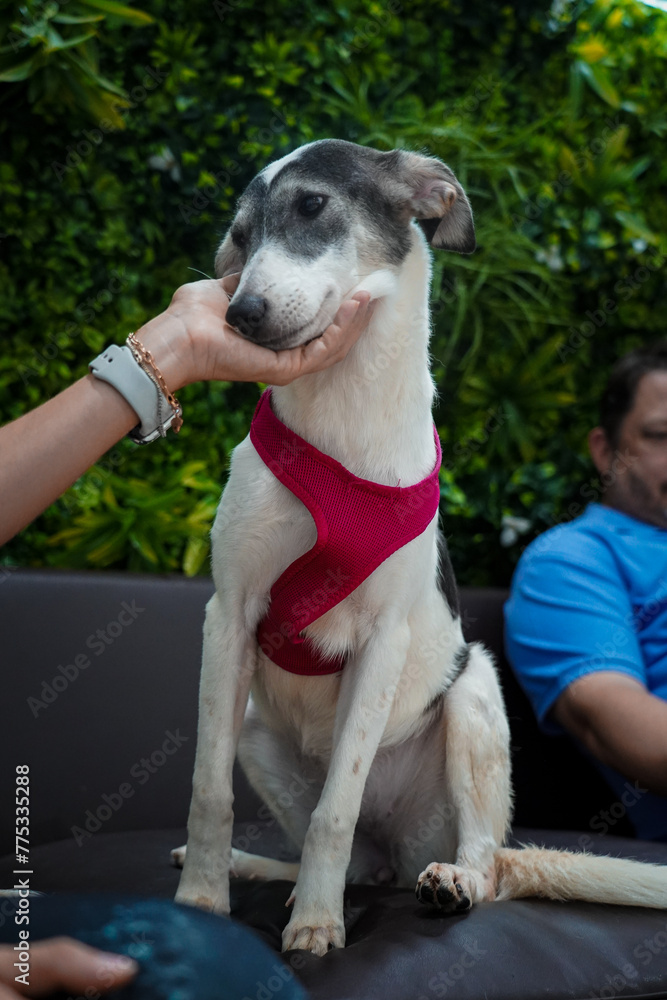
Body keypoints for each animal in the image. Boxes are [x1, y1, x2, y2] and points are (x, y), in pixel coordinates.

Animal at [174, 139, 667, 952]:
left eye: (312, 205)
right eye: (240, 237)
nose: (240, 313)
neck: (344, 412)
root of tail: (401, 855)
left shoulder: (385, 639)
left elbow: (333, 810)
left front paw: (316, 925)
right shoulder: (229, 616)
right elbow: (208, 790)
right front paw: (199, 902)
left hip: (473, 694)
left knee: (481, 861)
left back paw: (449, 882)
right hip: (252, 727)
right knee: (351, 861)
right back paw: (267, 871)